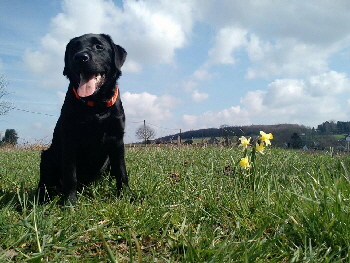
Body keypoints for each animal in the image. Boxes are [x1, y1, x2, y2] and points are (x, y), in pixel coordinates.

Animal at [37, 33, 133, 206]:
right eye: (74, 48)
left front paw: (128, 196)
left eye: (99, 46)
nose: (80, 57)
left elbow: (122, 172)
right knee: (45, 184)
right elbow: (70, 176)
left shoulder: (117, 140)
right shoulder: (70, 141)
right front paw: (70, 203)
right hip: (46, 157)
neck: (96, 106)